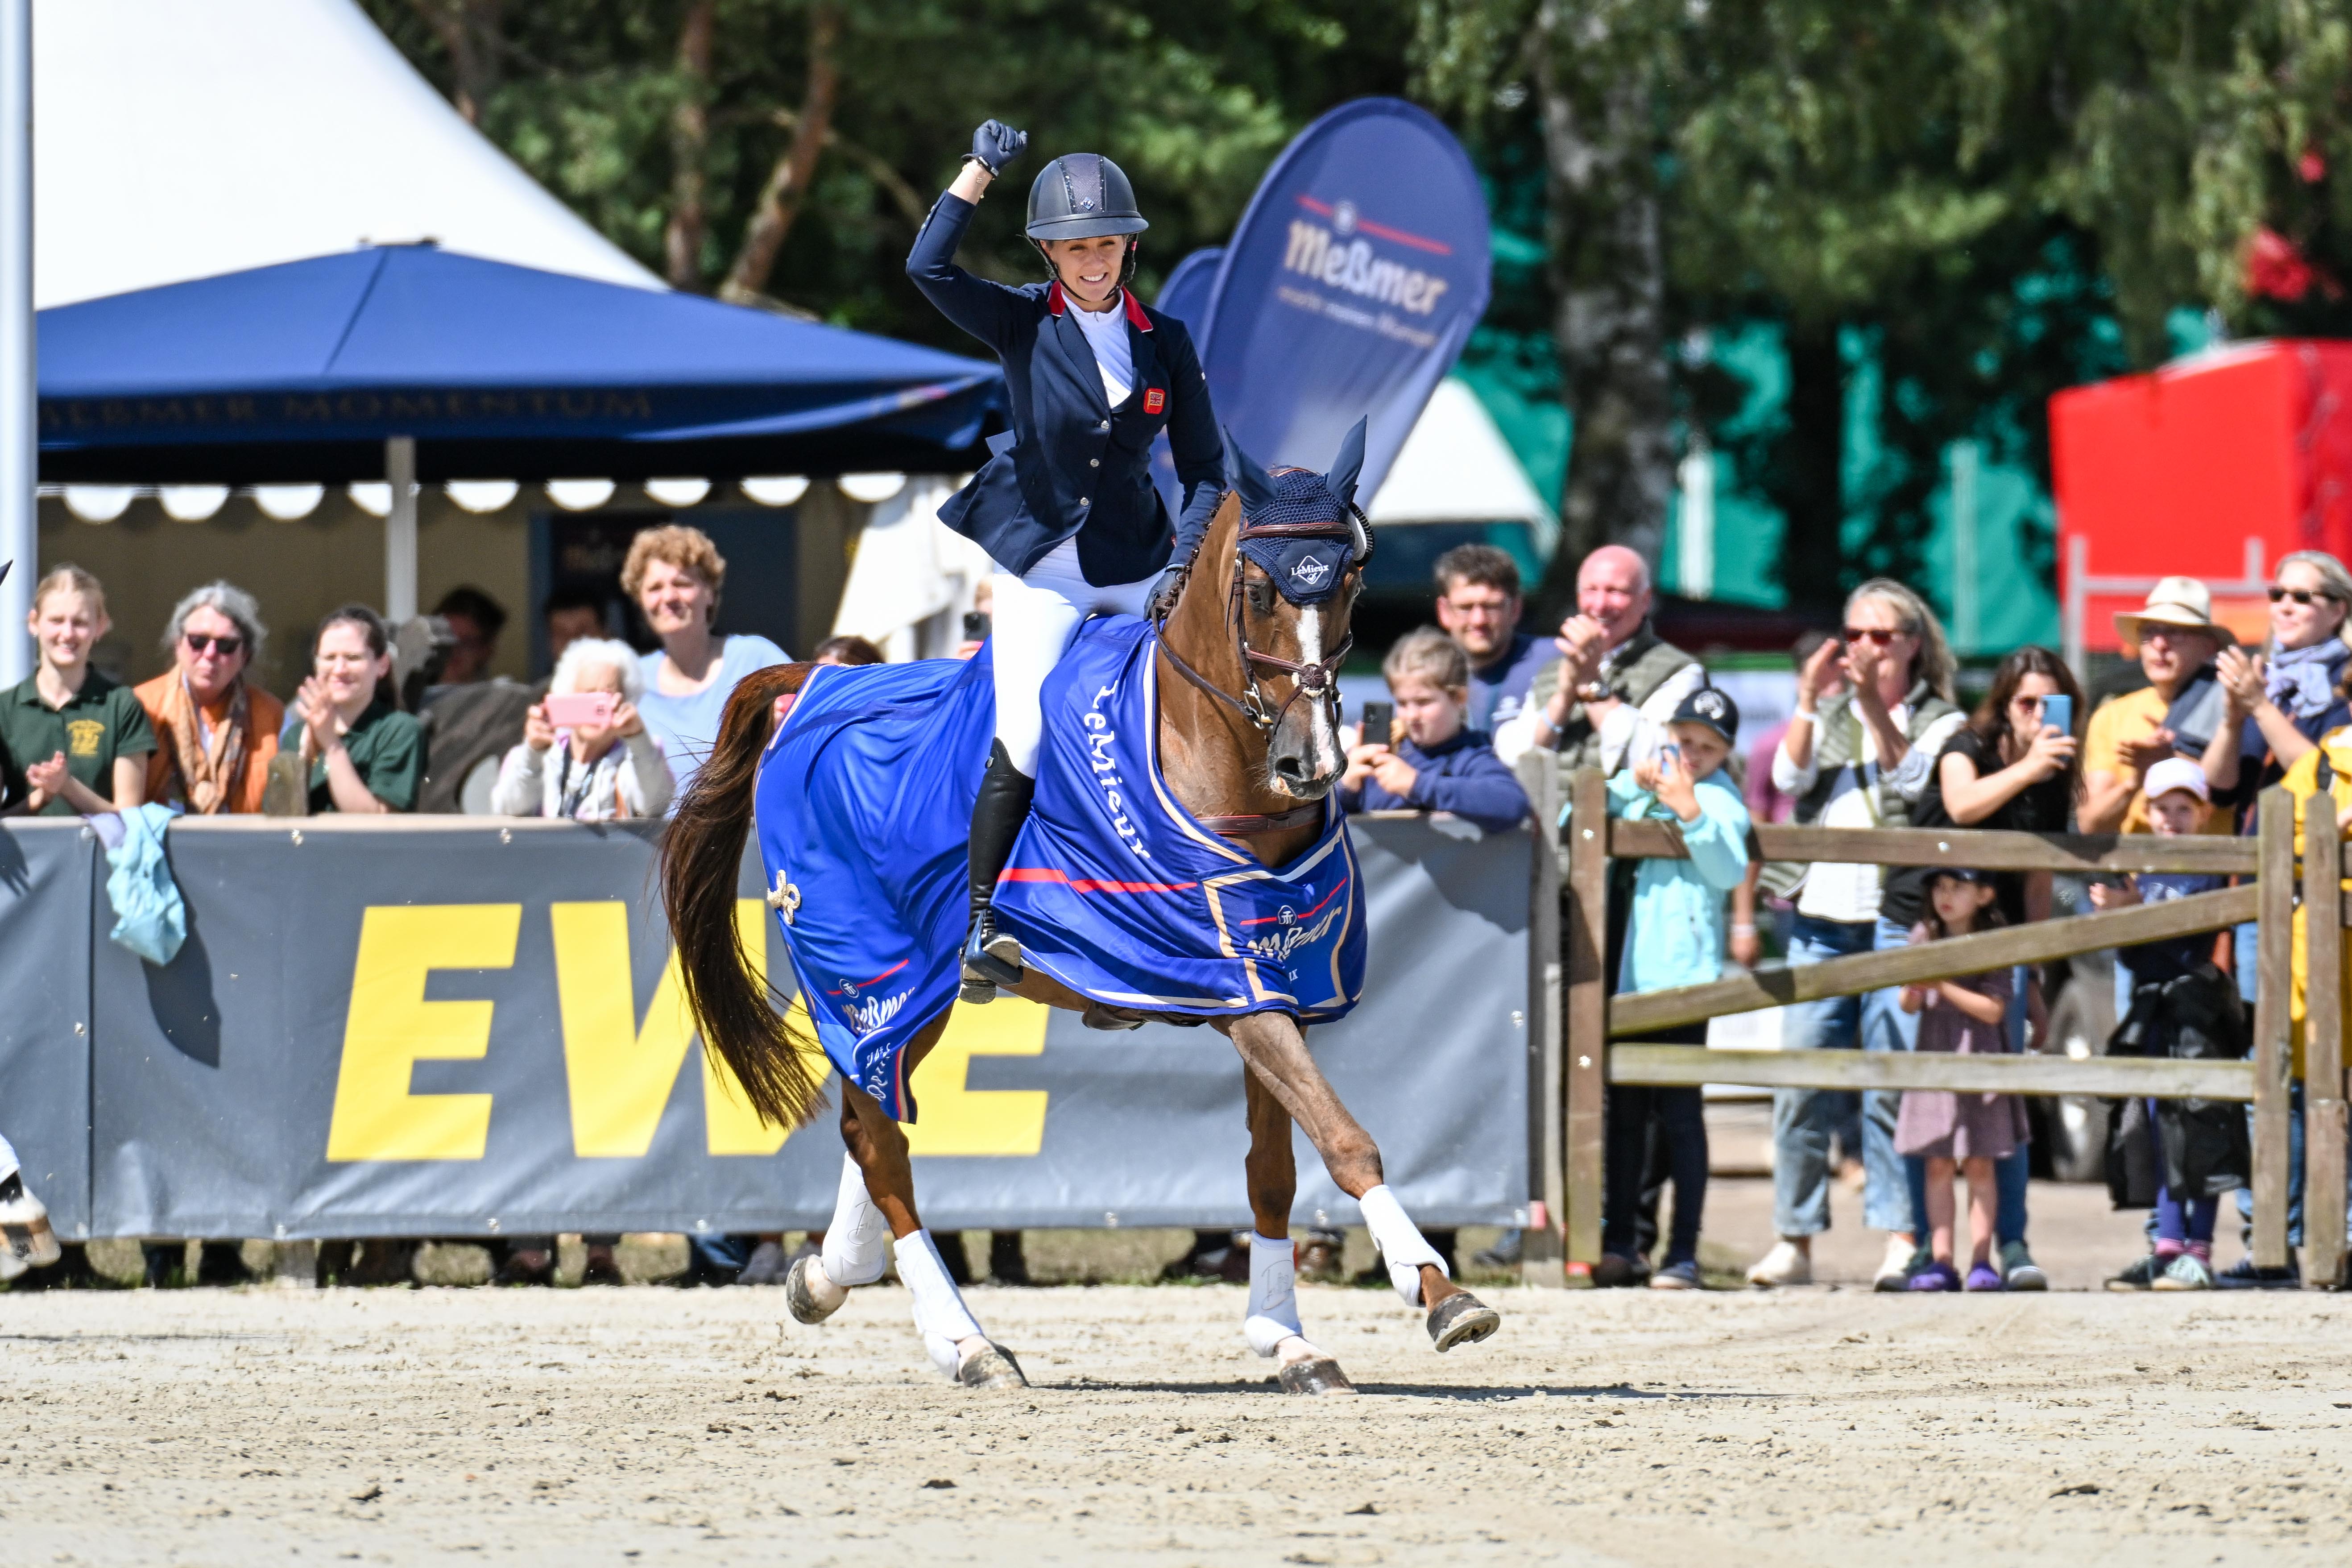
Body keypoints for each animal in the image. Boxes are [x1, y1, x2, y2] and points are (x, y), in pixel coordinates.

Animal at [659, 427, 1503, 1395]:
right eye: (1258, 590)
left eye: (1352, 583)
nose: (1313, 762)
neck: (1212, 761)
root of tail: (819, 684)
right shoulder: (1229, 985)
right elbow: (1344, 1137)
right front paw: (1439, 1292)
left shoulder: (1270, 982)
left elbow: (1273, 1170)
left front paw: (1287, 1339)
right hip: (863, 969)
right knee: (881, 1143)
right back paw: (968, 1341)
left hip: (911, 990)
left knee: (868, 1122)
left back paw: (837, 1274)